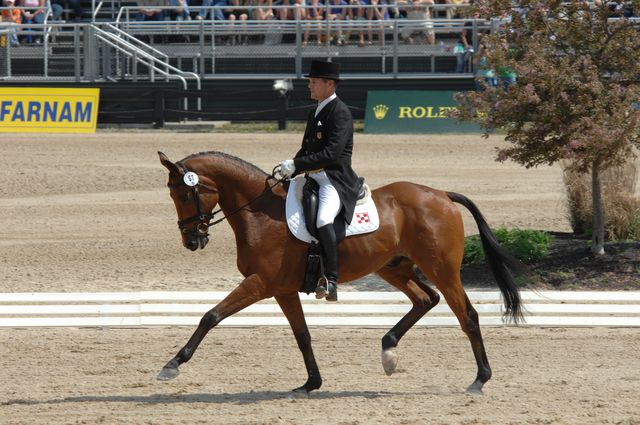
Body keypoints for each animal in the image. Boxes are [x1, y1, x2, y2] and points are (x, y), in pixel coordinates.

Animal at [156, 150, 524, 394]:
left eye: (184, 193)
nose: (192, 240)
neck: (260, 213)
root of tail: (441, 195)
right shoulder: (282, 289)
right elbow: (302, 335)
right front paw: (310, 383)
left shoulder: (260, 284)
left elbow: (211, 316)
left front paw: (172, 365)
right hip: (393, 267)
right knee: (425, 299)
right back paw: (388, 351)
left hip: (442, 269)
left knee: (467, 315)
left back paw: (479, 379)